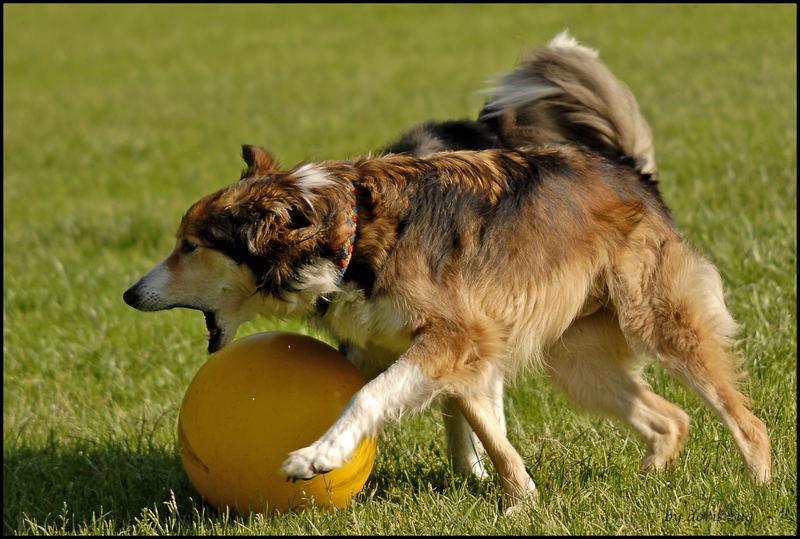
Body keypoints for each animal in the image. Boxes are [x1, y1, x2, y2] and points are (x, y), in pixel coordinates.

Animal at [123, 31, 768, 512]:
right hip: (577, 362)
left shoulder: (454, 339)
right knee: (670, 420)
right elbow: (486, 431)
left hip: (658, 323)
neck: (349, 237)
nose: (129, 294)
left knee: (744, 420)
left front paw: (316, 456)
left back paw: (758, 488)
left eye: (189, 246)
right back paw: (646, 481)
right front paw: (520, 503)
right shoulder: (460, 353)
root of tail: (630, 170)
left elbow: (370, 398)